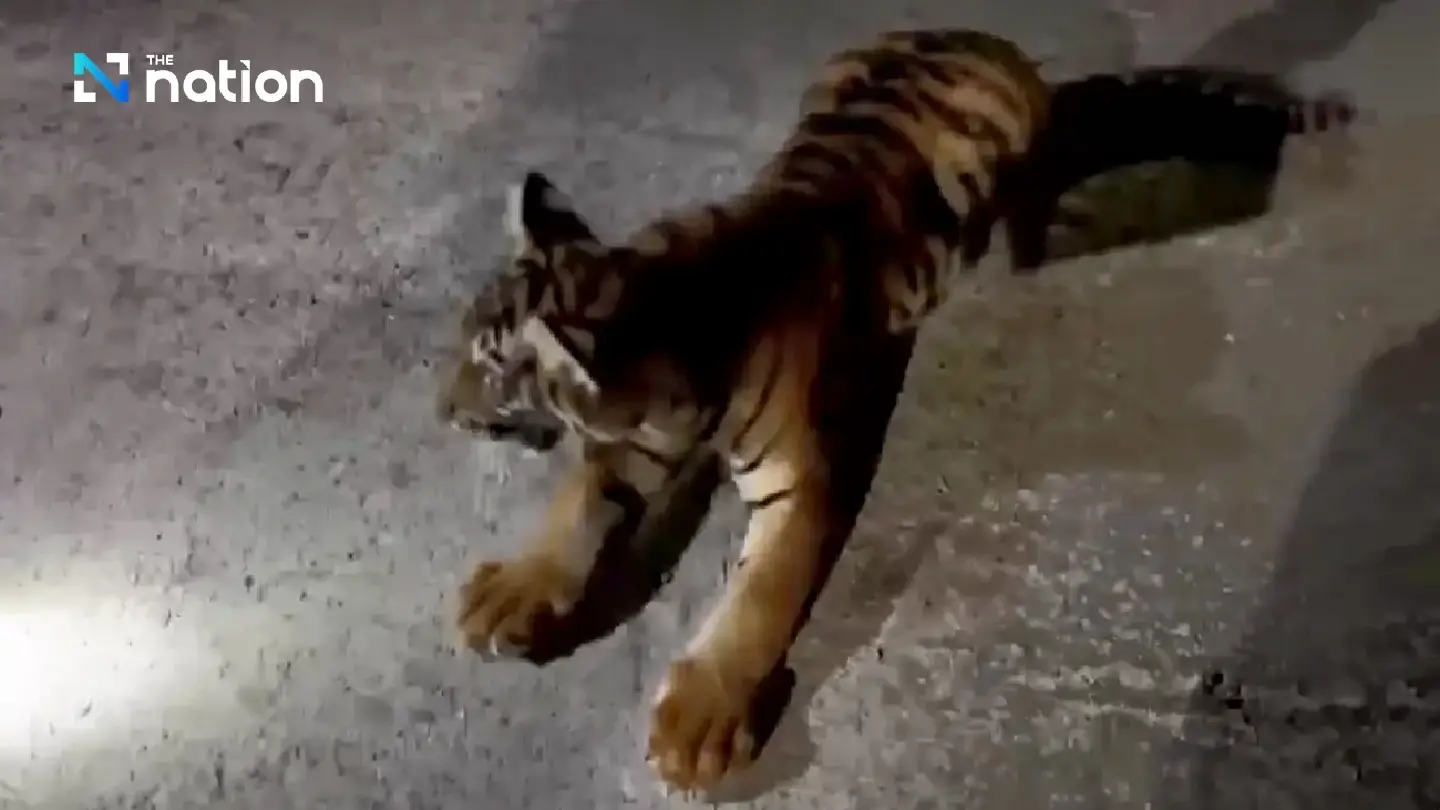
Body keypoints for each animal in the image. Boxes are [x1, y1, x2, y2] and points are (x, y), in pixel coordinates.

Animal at [435, 28, 1051, 792]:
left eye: (493, 371)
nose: (442, 409)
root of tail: (967, 32)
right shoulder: (634, 440)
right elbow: (577, 502)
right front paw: (516, 590)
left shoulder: (797, 478)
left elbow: (760, 594)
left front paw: (698, 721)